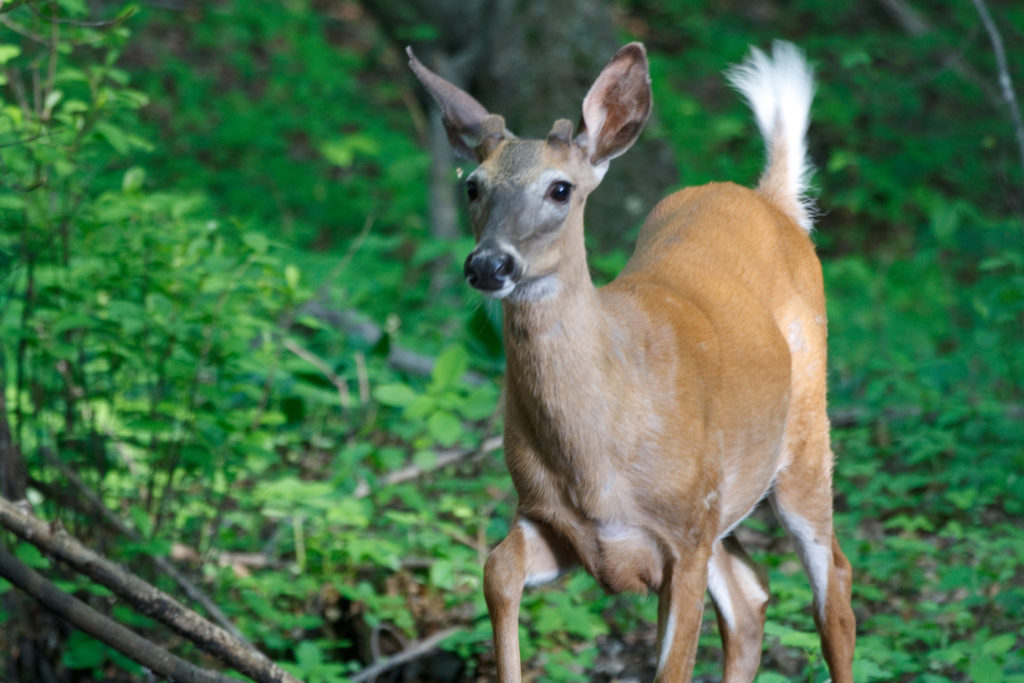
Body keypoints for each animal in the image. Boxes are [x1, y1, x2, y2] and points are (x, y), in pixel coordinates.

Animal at [407, 41, 856, 683]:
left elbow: (673, 667)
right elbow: (496, 571)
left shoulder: (686, 535)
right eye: (472, 185)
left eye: (561, 189)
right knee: (752, 592)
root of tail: (771, 201)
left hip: (803, 446)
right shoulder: (554, 522)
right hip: (726, 510)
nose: (489, 265)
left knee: (833, 588)